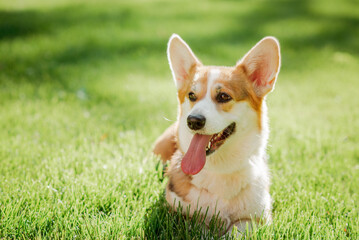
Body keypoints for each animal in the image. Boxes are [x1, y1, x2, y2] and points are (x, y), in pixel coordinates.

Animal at [153, 34, 282, 234]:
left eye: (223, 96)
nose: (193, 120)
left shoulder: (258, 219)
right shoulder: (178, 214)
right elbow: (199, 228)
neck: (220, 169)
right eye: (191, 95)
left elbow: (237, 231)